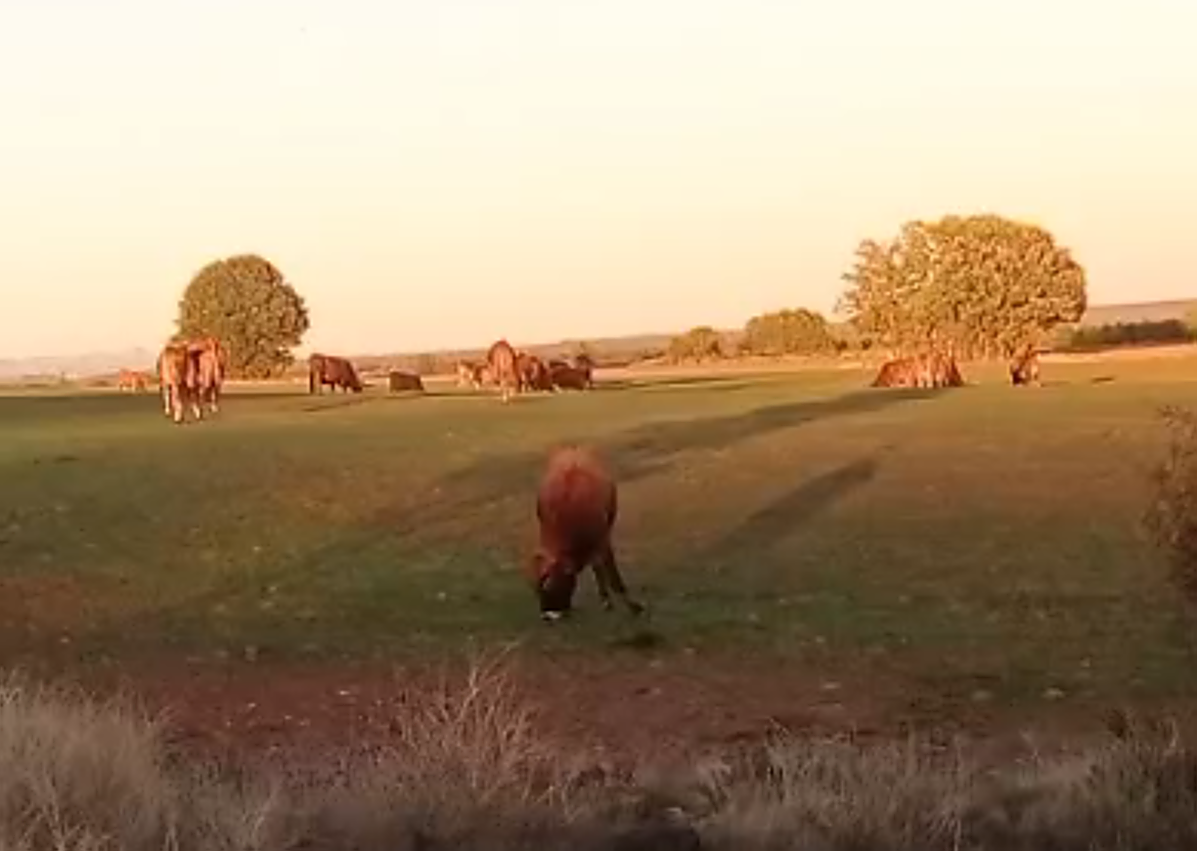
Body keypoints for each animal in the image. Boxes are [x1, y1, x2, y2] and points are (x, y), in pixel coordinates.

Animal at [528, 446, 643, 621]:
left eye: (551, 587)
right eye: (536, 589)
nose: (547, 616)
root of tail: (572, 449)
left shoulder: (603, 540)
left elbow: (612, 575)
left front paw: (633, 606)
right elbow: (598, 567)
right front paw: (606, 600)